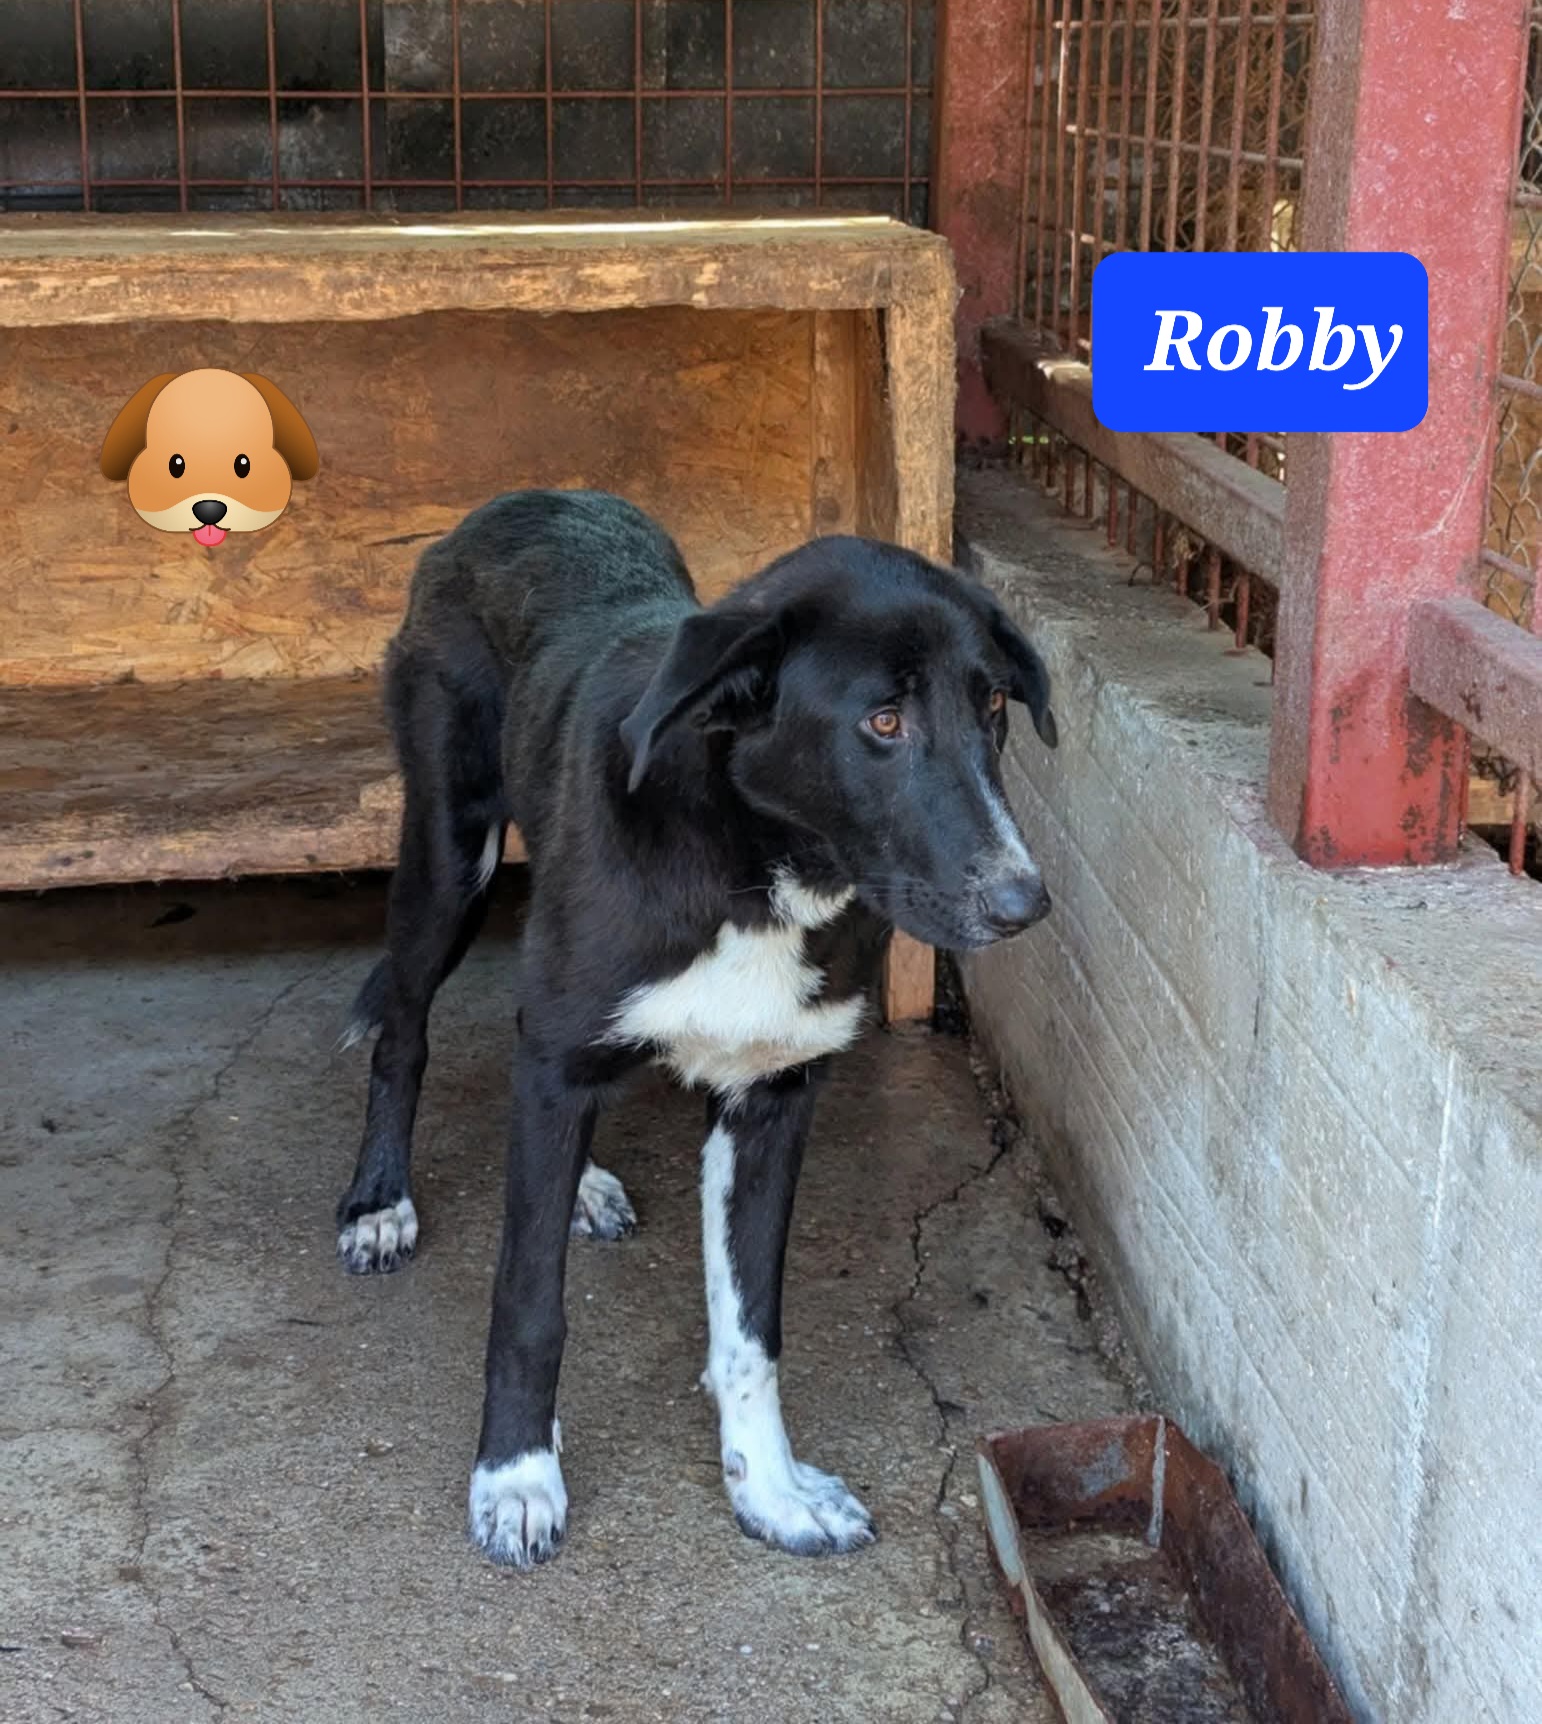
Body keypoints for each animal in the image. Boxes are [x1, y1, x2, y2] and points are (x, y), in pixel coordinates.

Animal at [337, 490, 1058, 1568]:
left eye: (996, 709)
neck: (754, 865)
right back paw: (380, 1197)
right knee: (407, 1026)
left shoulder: (770, 1099)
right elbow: (527, 1305)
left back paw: (584, 1180)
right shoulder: (559, 1053)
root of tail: (518, 500)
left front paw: (770, 1489)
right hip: (448, 854)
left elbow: (750, 1328)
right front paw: (515, 1477)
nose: (1025, 902)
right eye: (883, 721)